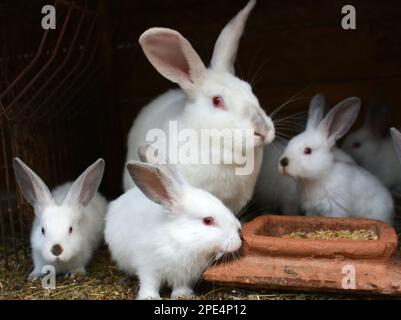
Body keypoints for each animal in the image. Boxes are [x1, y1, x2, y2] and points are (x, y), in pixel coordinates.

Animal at [104, 146, 241, 300]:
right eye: (208, 220)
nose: (238, 239)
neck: (179, 238)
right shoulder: (148, 266)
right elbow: (149, 283)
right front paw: (149, 297)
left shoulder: (184, 275)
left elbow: (180, 285)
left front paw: (183, 295)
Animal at [276, 96, 392, 224]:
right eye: (290, 143)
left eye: (308, 150)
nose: (283, 162)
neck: (319, 178)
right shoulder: (312, 210)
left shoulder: (335, 208)